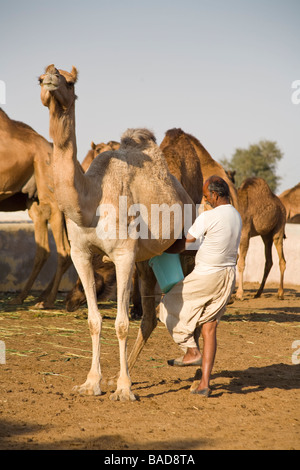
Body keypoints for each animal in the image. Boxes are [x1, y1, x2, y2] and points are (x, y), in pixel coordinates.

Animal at [0, 107, 71, 306]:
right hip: (37, 205)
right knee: (46, 251)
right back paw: (25, 298)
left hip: (51, 197)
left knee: (64, 251)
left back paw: (47, 301)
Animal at [38, 63, 193, 400]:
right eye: (40, 77)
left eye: (70, 81)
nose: (49, 82)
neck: (90, 201)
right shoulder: (82, 254)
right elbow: (94, 320)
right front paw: (92, 383)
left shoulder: (122, 254)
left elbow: (120, 323)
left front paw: (123, 390)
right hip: (146, 260)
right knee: (148, 316)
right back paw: (123, 376)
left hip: (186, 245)